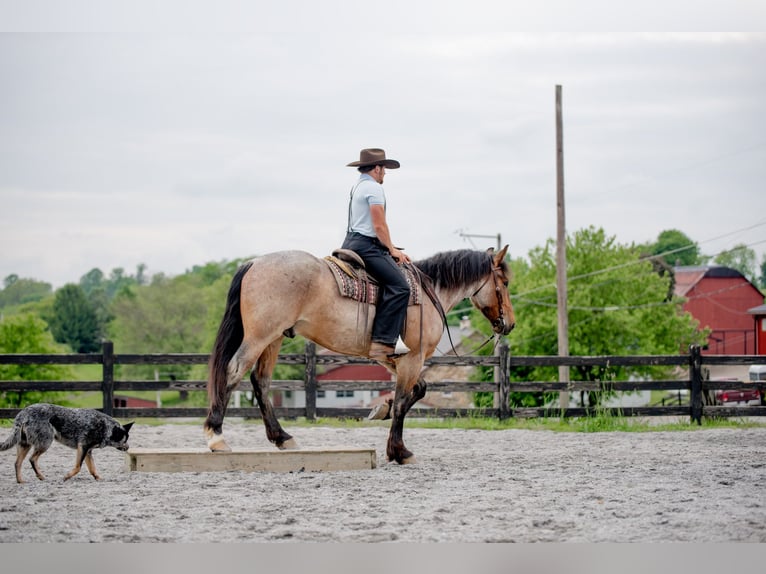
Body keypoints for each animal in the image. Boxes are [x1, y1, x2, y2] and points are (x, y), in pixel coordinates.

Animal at [0, 404, 134, 486]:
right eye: (125, 440)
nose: (128, 448)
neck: (106, 427)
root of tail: (23, 413)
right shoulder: (83, 447)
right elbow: (78, 467)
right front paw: (66, 477)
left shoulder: (87, 451)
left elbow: (92, 468)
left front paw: (98, 478)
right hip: (45, 443)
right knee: (32, 459)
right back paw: (41, 476)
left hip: (24, 444)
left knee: (17, 463)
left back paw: (20, 481)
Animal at [204, 245, 516, 466]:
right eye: (505, 283)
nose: (510, 324)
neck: (430, 293)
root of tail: (254, 263)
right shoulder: (412, 359)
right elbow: (403, 402)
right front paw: (399, 451)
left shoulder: (394, 359)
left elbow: (418, 390)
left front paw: (381, 410)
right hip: (260, 337)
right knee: (233, 371)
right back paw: (216, 437)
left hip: (274, 338)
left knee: (260, 381)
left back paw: (282, 437)